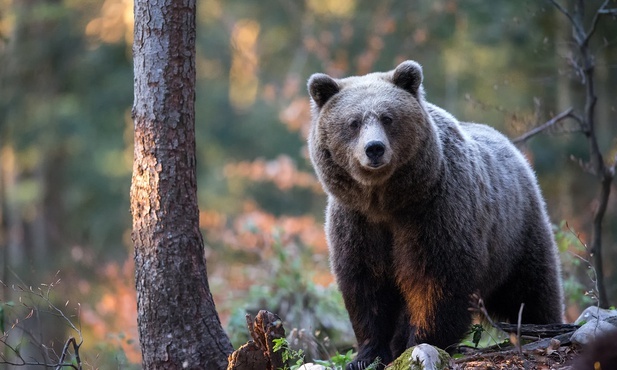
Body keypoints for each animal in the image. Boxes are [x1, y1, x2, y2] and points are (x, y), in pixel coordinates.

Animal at [308, 59, 564, 368]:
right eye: (353, 122)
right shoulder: (357, 222)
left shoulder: (435, 211)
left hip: (517, 233)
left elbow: (437, 281)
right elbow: (366, 285)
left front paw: (417, 343)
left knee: (534, 289)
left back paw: (545, 327)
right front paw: (367, 354)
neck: (386, 201)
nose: (374, 149)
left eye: (388, 118)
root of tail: (513, 149)